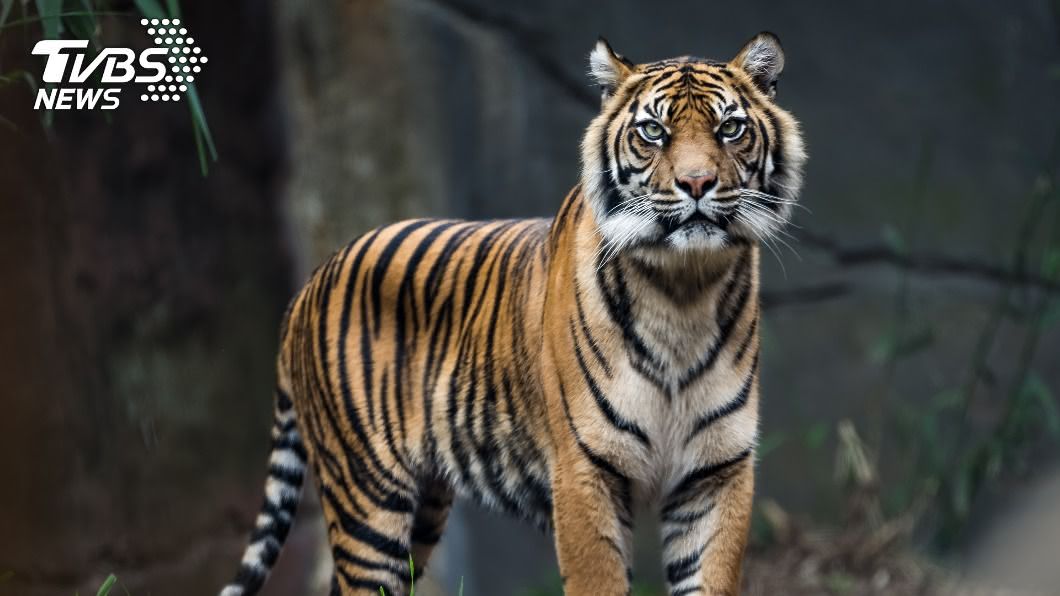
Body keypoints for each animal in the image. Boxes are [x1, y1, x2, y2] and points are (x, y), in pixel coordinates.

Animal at [220, 31, 805, 596]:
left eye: (730, 128)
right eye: (653, 132)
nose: (697, 183)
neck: (683, 288)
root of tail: (308, 285)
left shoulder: (716, 473)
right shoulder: (583, 473)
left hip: (424, 510)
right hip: (368, 498)